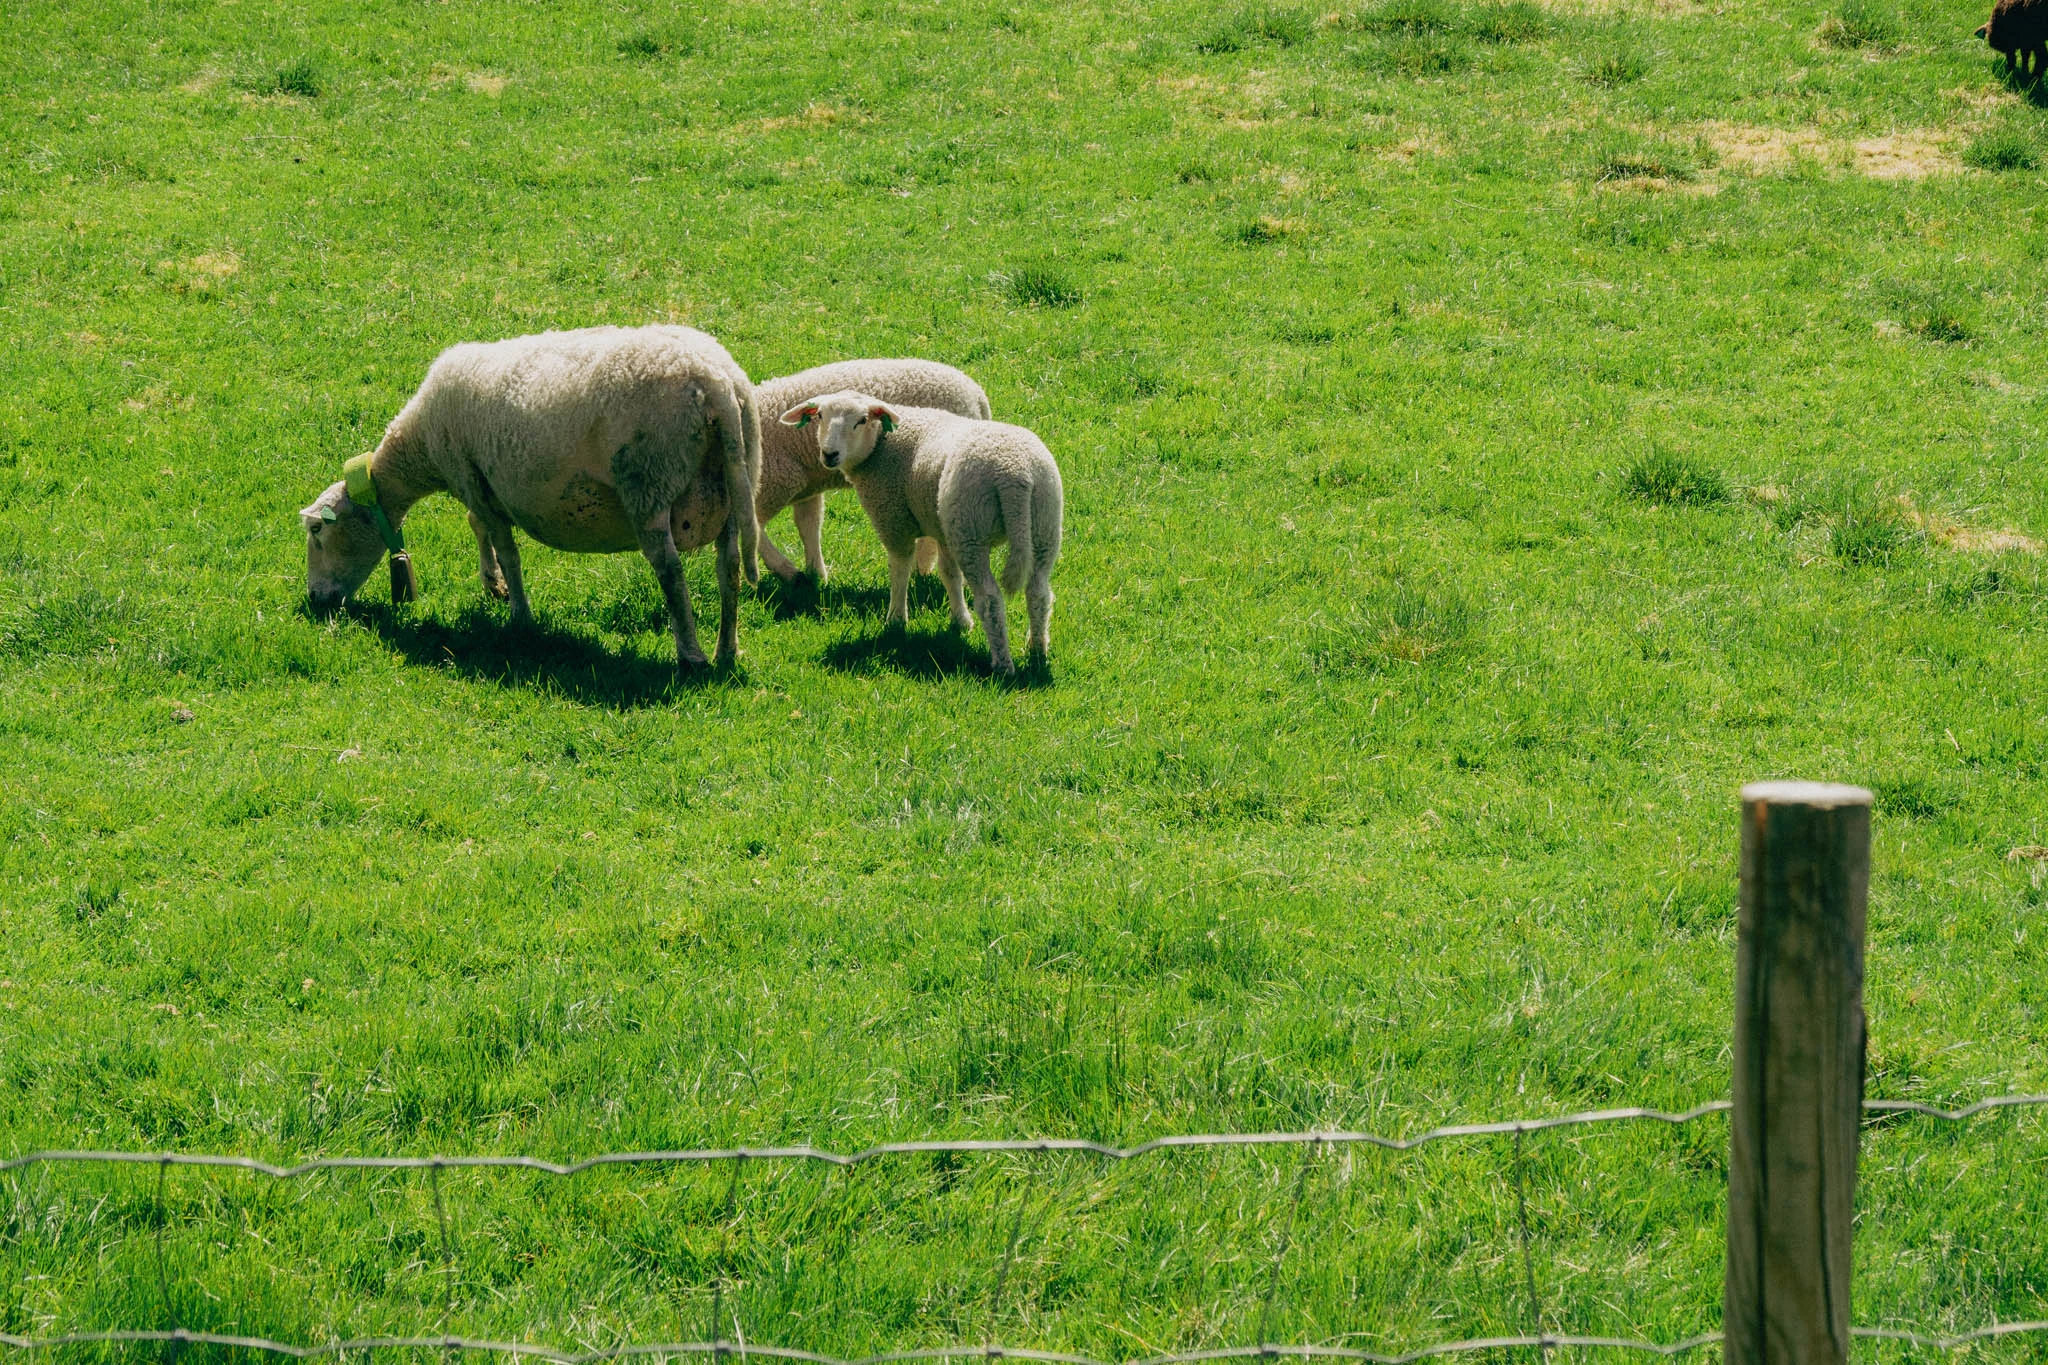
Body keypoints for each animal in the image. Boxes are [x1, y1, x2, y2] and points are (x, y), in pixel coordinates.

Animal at [298, 324, 762, 674]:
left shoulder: (469, 474)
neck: (420, 446)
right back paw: (726, 650)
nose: (316, 600)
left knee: (670, 571)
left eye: (317, 529)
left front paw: (519, 616)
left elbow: (507, 550)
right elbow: (478, 526)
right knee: (729, 567)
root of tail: (718, 383)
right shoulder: (482, 482)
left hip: (648, 481)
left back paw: (691, 655)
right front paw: (493, 585)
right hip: (736, 479)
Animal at [671, 358, 990, 584]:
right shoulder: (804, 485)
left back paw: (923, 570)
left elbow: (754, 528)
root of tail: (977, 397)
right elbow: (808, 525)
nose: (682, 548)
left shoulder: (777, 480)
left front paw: (790, 572)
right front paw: (817, 574)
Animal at [780, 390, 1062, 676]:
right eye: (820, 416)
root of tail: (1016, 474)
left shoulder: (893, 520)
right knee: (1038, 592)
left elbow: (900, 570)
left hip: (971, 528)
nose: (829, 454)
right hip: (1043, 524)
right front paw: (961, 621)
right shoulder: (943, 528)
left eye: (861, 420)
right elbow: (950, 575)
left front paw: (895, 621)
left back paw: (1003, 664)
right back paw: (1037, 651)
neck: (880, 446)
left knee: (990, 599)